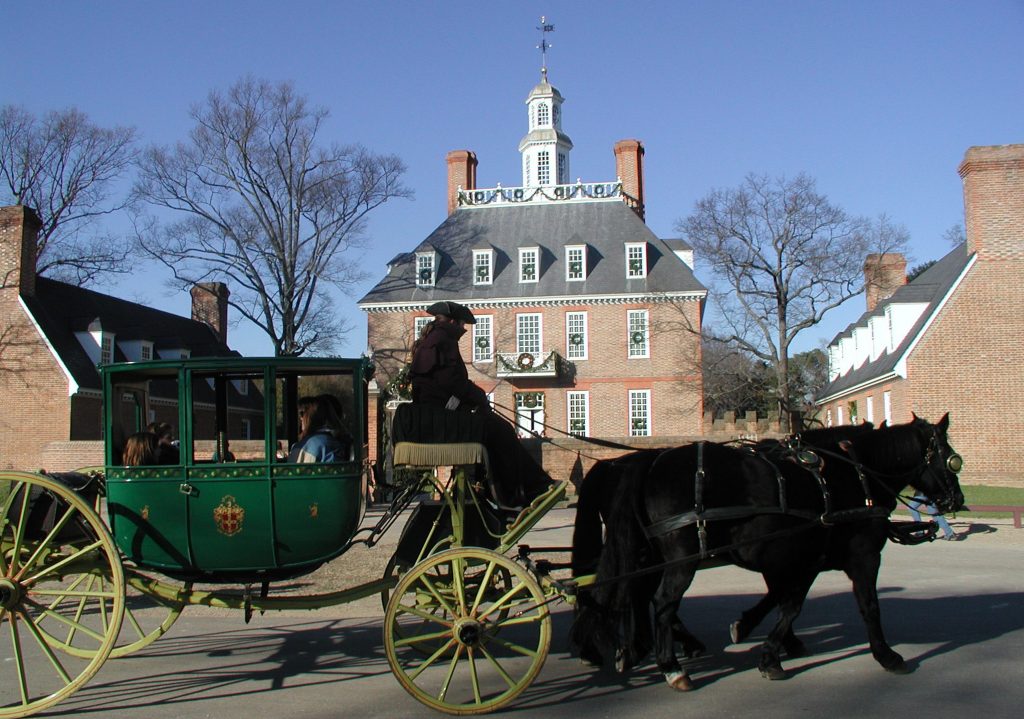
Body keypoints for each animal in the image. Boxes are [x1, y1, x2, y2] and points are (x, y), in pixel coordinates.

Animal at [573, 417, 962, 692]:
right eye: (951, 459)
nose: (956, 500)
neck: (852, 473)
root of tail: (650, 461)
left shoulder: (797, 556)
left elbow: (784, 601)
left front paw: (759, 639)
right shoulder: (861, 555)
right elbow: (865, 606)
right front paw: (887, 656)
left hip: (650, 553)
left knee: (636, 596)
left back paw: (633, 651)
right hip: (682, 556)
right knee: (662, 602)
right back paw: (671, 667)